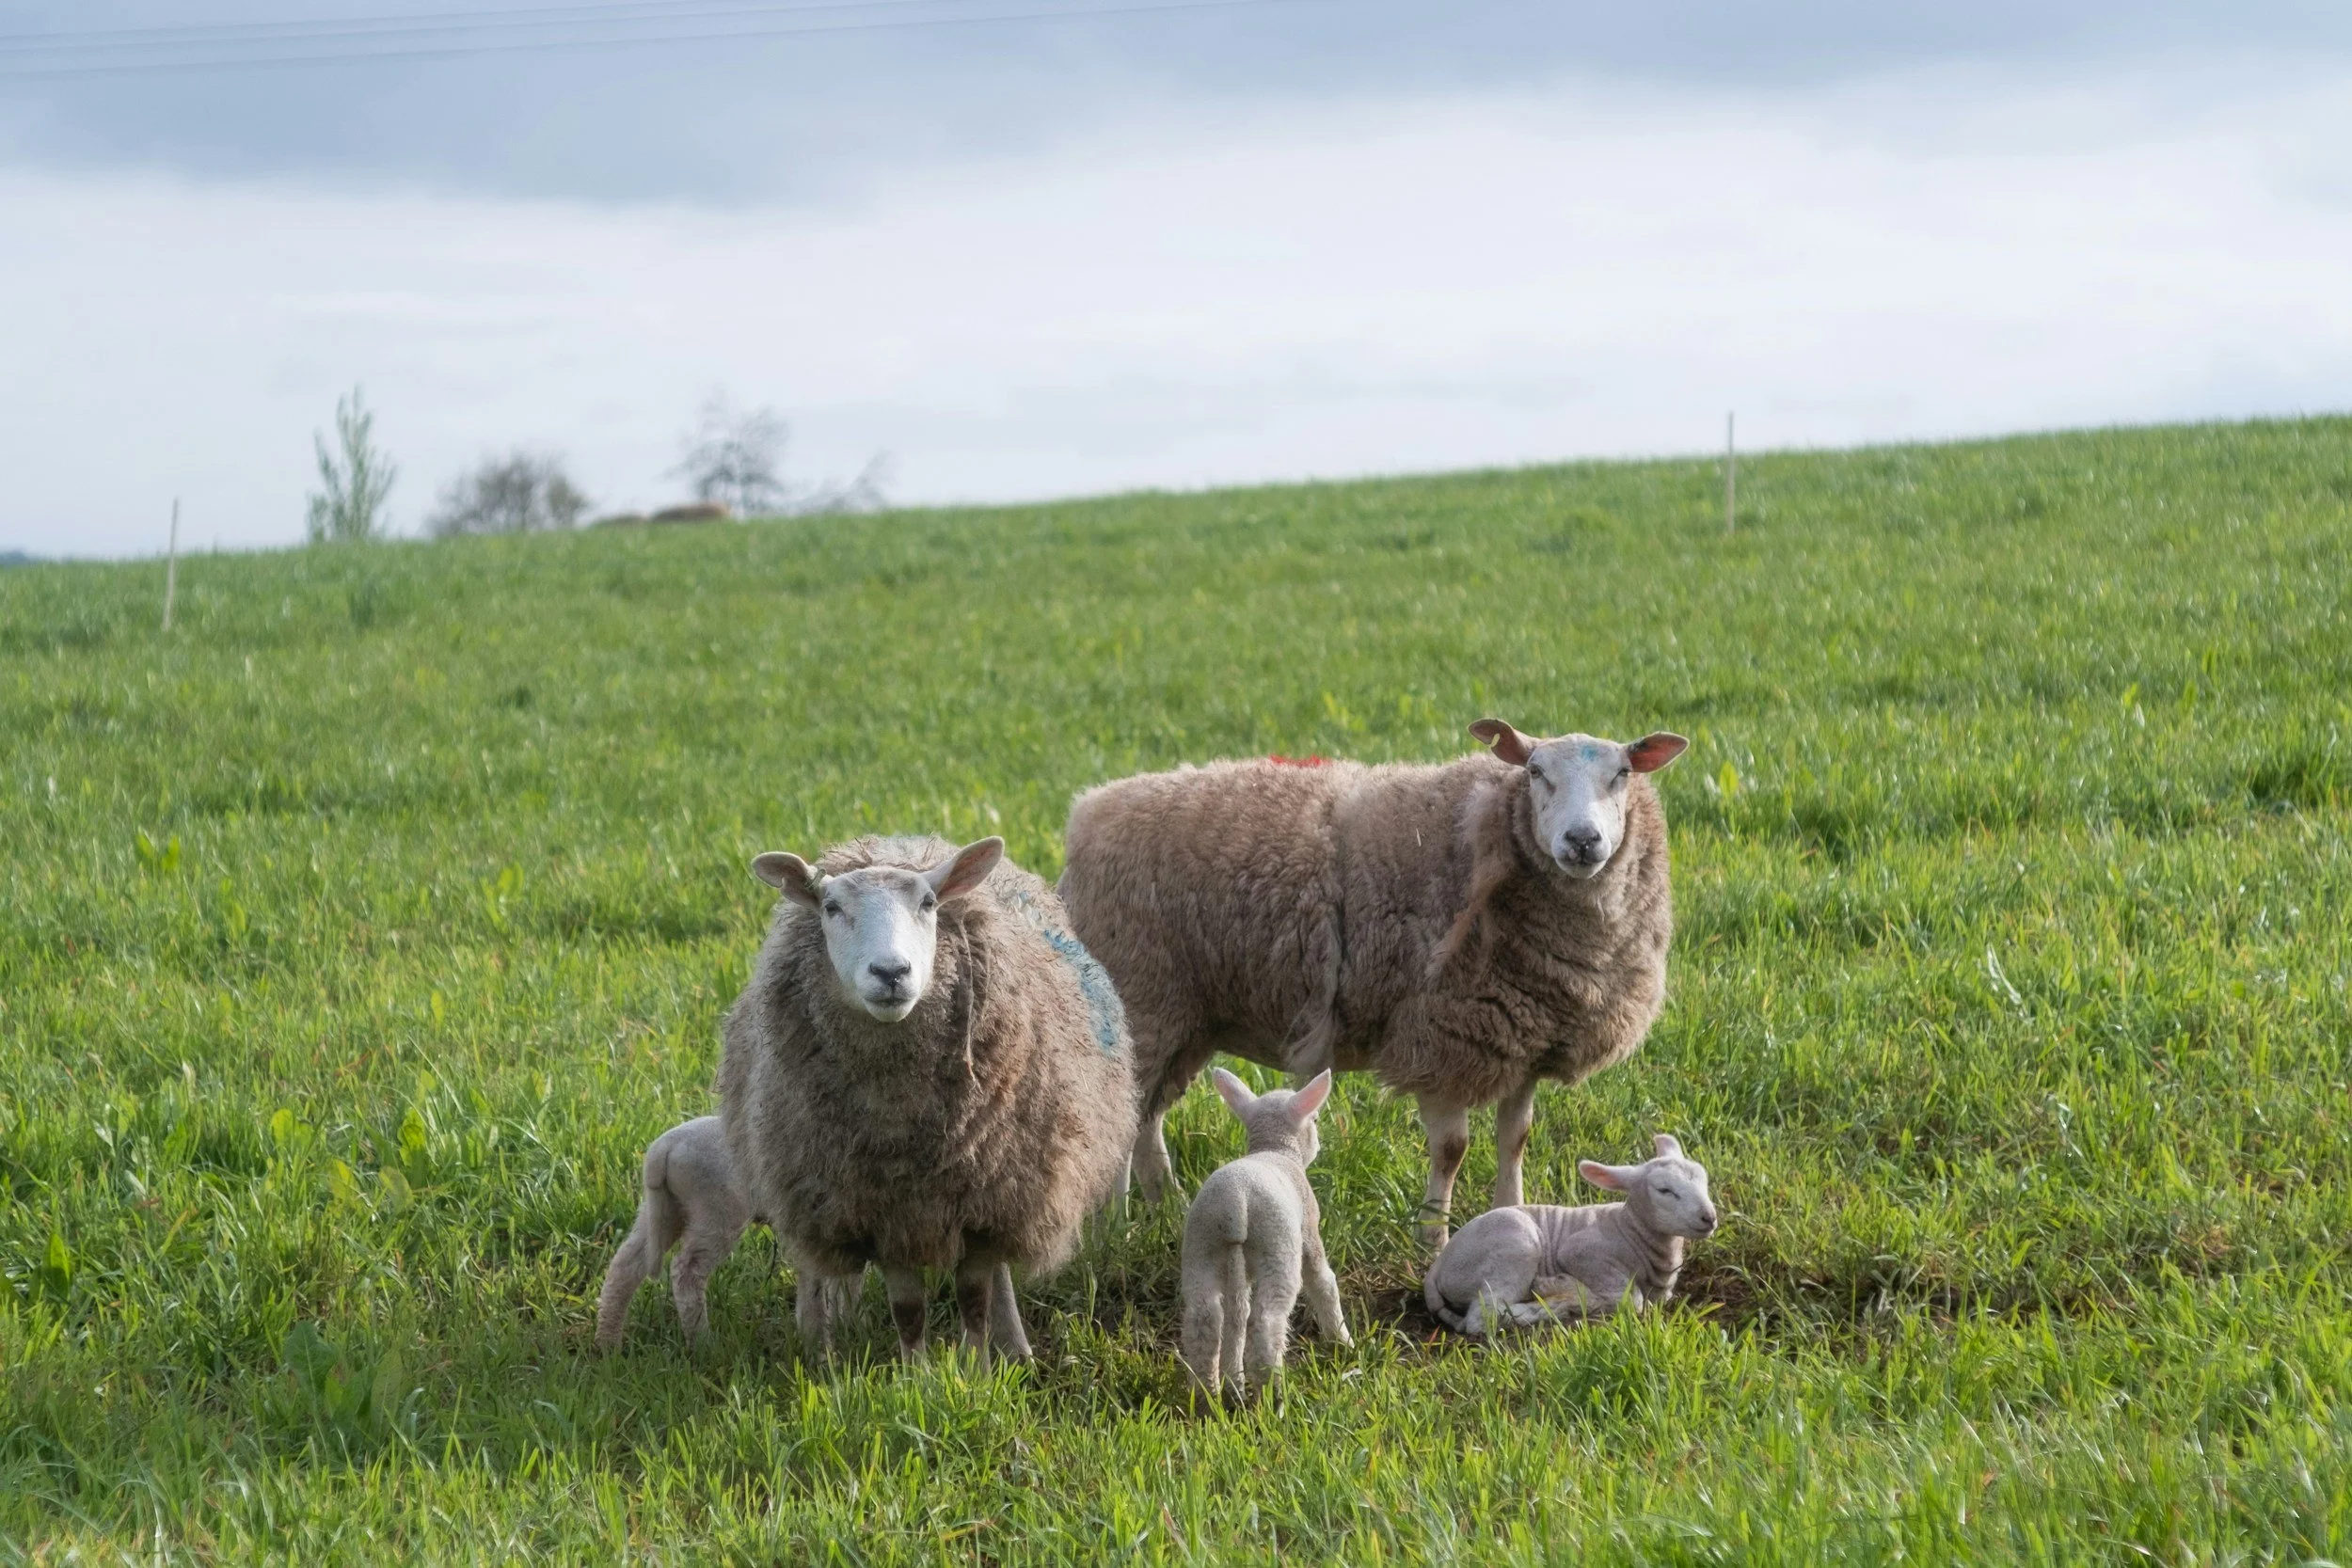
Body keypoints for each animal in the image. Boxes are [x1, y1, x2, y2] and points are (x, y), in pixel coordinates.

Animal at [716, 834, 1137, 1366]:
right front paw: (916, 1374)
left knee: (998, 1276)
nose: (891, 972)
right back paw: (820, 1342)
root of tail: (897, 841)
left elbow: (975, 1296)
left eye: (929, 903)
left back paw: (1015, 1348)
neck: (901, 1124)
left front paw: (977, 1370)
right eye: (831, 907)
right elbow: (909, 1310)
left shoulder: (985, 1202)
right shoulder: (881, 1215)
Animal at [1060, 719, 1687, 1248]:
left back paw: (1164, 1203)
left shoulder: (1524, 1037)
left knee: (1147, 1116)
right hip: (1140, 999)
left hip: (1184, 1017)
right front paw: (1433, 1238)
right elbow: (1452, 1149)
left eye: (1623, 773)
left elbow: (1516, 1139)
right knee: (1123, 1117)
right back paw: (1113, 1230)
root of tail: (1086, 813)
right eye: (1535, 772)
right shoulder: (1441, 1034)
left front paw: (1510, 1213)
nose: (1582, 841)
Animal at [1179, 1068, 1351, 1401]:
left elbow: (1236, 1312)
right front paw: (1343, 1343)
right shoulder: (1309, 1227)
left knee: (1206, 1318)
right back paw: (1272, 1397)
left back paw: (1208, 1395)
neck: (1274, 1149)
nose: (1320, 1145)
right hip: (1278, 1245)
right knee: (1265, 1321)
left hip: (1201, 1245)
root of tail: (1236, 1203)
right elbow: (1323, 1282)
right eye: (1315, 1119)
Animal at [1422, 1134, 1716, 1335]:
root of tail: (1435, 1270)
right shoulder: (1581, 1251)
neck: (1631, 1231)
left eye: (1705, 1180)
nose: (1709, 1217)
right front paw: (1566, 1289)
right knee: (1483, 1316)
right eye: (1664, 1190)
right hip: (1514, 1248)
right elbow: (1630, 1299)